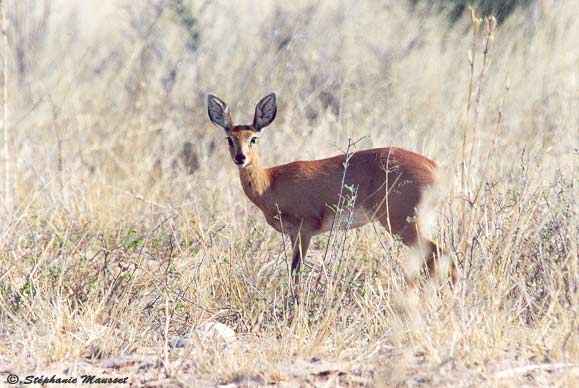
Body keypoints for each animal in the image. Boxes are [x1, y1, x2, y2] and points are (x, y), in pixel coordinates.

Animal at [208, 92, 458, 284]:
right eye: (229, 139)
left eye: (254, 138)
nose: (240, 158)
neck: (270, 181)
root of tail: (434, 167)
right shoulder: (294, 234)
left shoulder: (303, 231)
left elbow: (296, 273)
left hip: (402, 224)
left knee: (442, 256)